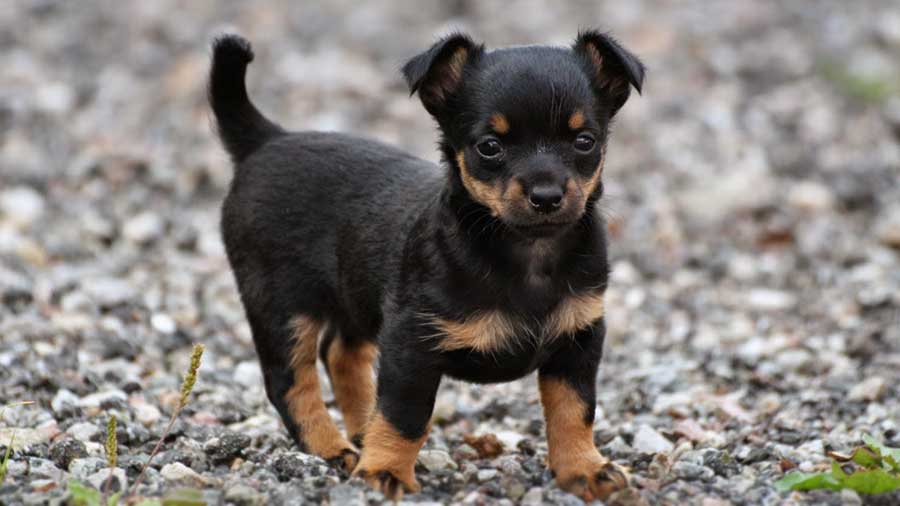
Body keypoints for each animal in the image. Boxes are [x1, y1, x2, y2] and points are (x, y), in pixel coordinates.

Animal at [210, 31, 644, 502]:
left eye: (585, 141)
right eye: (489, 147)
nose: (546, 196)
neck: (527, 251)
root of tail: (267, 139)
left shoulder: (578, 340)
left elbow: (574, 411)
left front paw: (584, 468)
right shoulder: (412, 344)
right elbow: (405, 414)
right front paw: (386, 471)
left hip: (355, 296)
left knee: (340, 353)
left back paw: (361, 434)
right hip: (282, 305)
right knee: (290, 381)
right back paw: (333, 448)